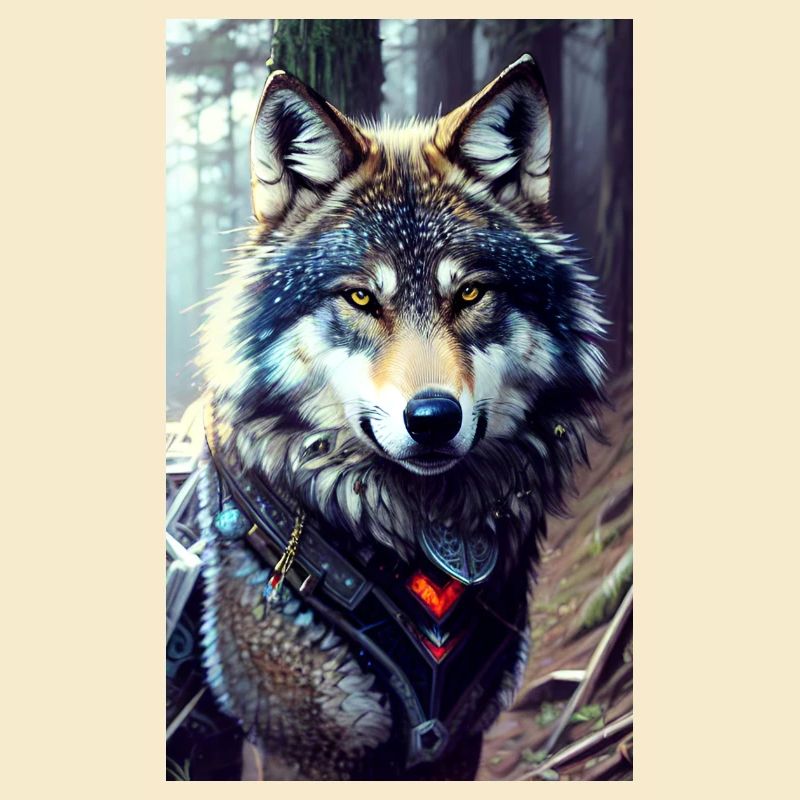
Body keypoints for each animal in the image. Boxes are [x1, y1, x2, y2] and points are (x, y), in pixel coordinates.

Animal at [195, 54, 607, 780]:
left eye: (470, 292)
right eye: (361, 298)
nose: (434, 418)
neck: (419, 530)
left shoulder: (461, 740)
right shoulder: (303, 751)